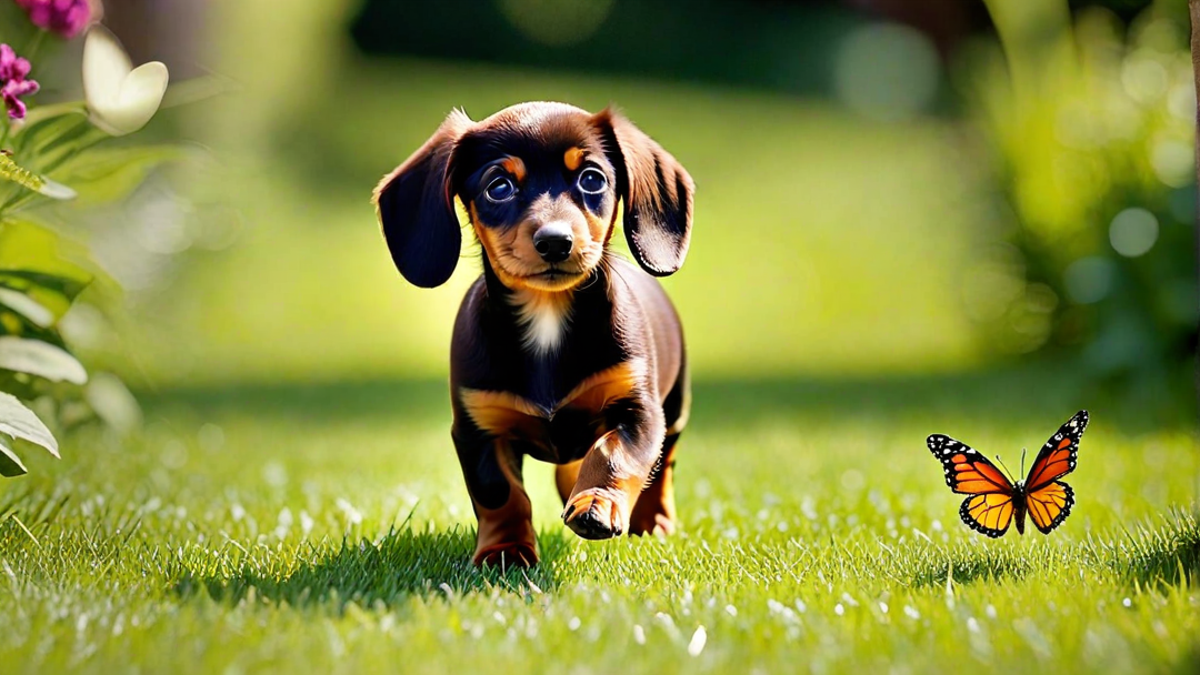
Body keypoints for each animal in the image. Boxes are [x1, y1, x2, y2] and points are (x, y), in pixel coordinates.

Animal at [374, 100, 696, 562]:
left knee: (663, 463)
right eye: (499, 187)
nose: (555, 241)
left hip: (675, 408)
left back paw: (653, 519)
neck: (548, 316)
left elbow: (614, 454)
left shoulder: (638, 411)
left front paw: (597, 503)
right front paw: (505, 550)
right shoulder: (478, 428)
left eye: (592, 178)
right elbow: (500, 493)